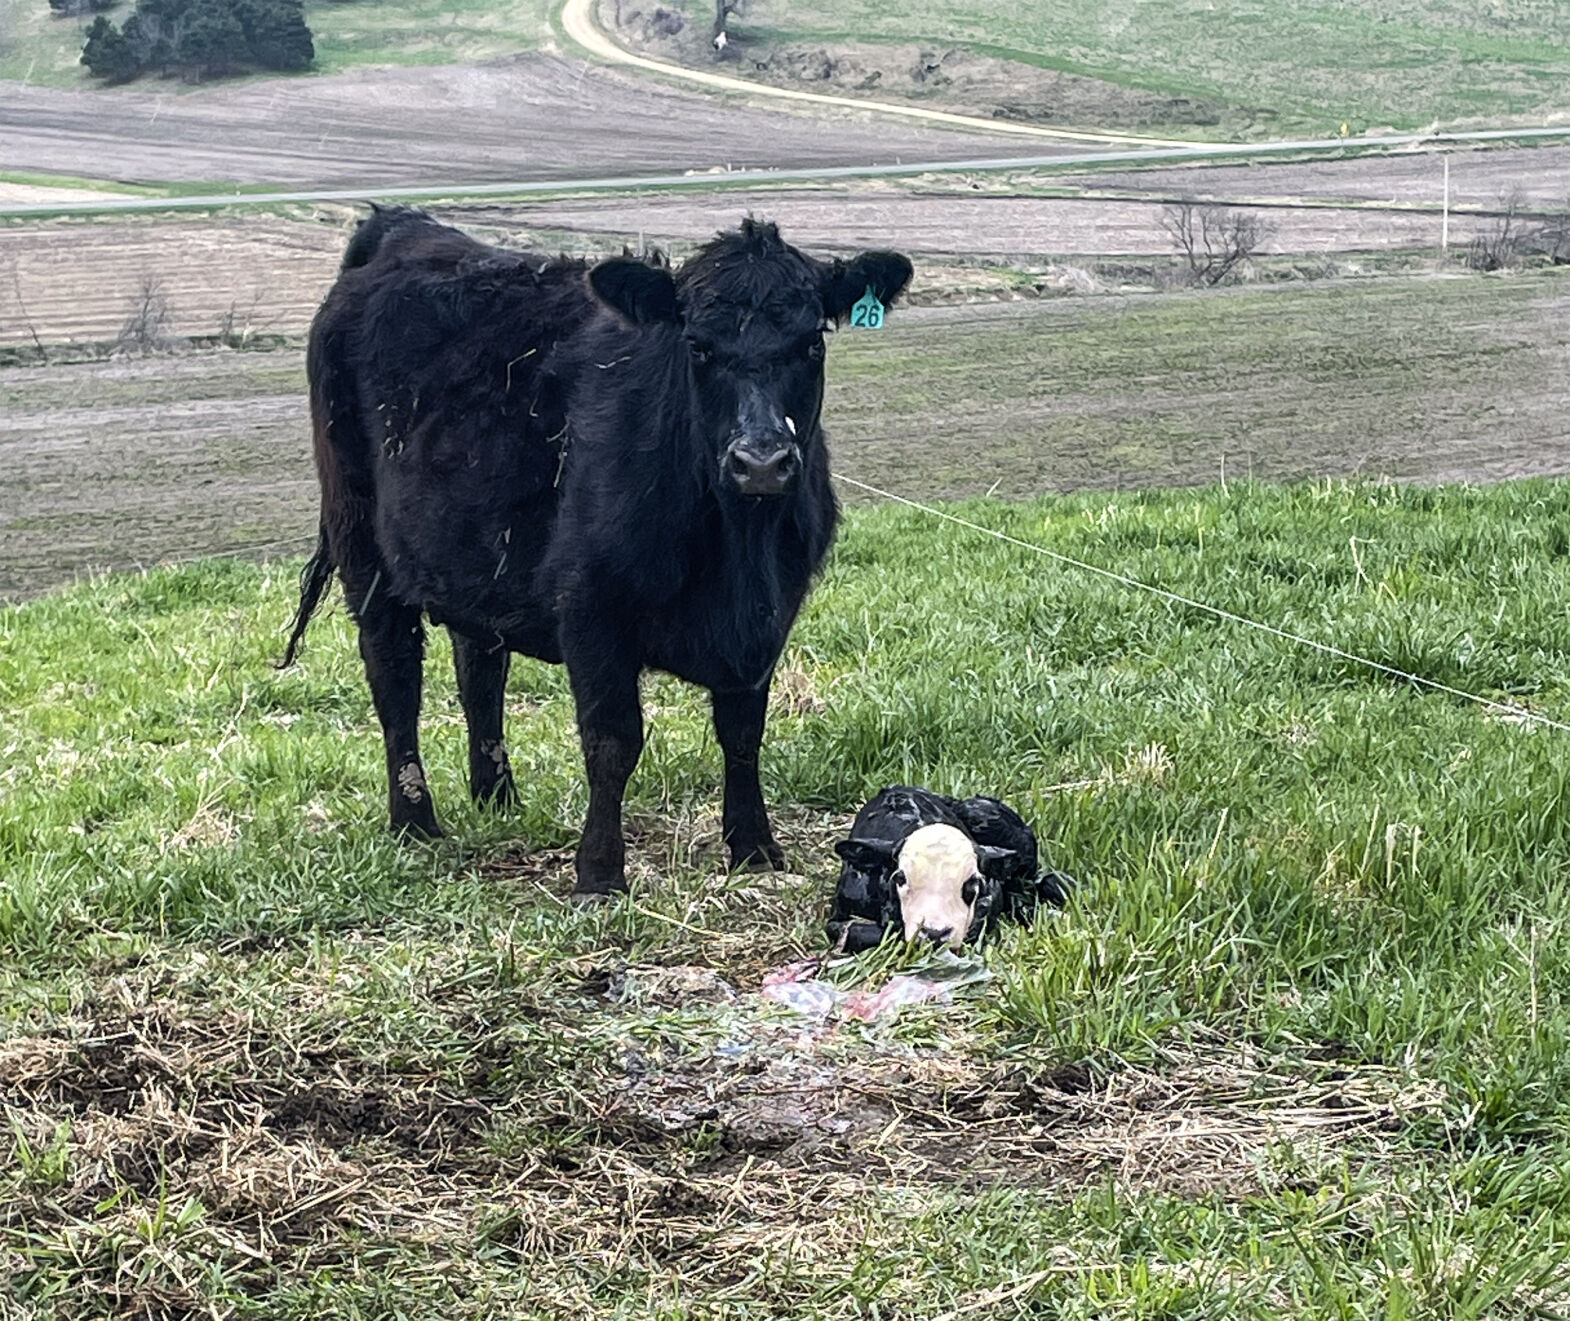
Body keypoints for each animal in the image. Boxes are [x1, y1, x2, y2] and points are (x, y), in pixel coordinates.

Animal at [280, 207, 912, 896]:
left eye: (812, 344)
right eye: (697, 346)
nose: (762, 462)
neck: (740, 555)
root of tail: (403, 226)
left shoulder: (771, 617)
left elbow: (743, 732)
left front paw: (754, 847)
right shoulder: (590, 607)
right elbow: (612, 742)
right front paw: (600, 872)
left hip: (476, 557)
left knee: (480, 670)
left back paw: (497, 796)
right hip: (361, 544)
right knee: (394, 675)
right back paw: (415, 821)